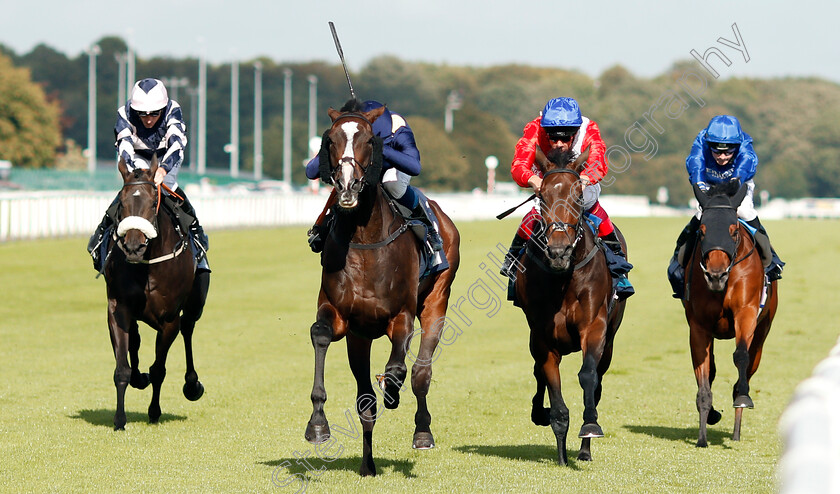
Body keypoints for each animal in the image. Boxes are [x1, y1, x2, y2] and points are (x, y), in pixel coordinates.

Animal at [102, 157, 209, 428]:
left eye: (153, 202)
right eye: (122, 203)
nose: (133, 247)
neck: (147, 265)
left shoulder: (169, 319)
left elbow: (159, 369)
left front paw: (154, 411)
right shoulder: (118, 308)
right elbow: (122, 369)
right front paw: (120, 420)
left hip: (195, 304)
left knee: (188, 328)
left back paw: (192, 385)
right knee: (136, 338)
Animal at [304, 99, 460, 474]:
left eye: (368, 140)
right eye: (330, 140)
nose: (346, 186)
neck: (365, 240)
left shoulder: (400, 316)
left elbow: (397, 368)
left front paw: (393, 389)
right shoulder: (341, 317)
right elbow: (320, 335)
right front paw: (317, 425)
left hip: (437, 298)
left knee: (421, 372)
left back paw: (422, 431)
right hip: (360, 338)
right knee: (366, 401)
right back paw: (368, 464)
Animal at [516, 146, 628, 464]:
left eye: (578, 194)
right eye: (542, 196)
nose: (558, 251)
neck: (563, 278)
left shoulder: (594, 327)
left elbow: (588, 376)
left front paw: (589, 428)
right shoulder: (542, 337)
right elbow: (554, 396)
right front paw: (561, 452)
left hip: (610, 340)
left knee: (598, 380)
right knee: (537, 372)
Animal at [684, 180, 776, 448]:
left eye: (734, 231)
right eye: (702, 230)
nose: (716, 275)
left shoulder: (746, 315)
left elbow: (741, 356)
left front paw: (742, 398)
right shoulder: (699, 327)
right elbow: (704, 374)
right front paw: (702, 436)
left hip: (762, 332)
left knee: (749, 362)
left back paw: (736, 426)